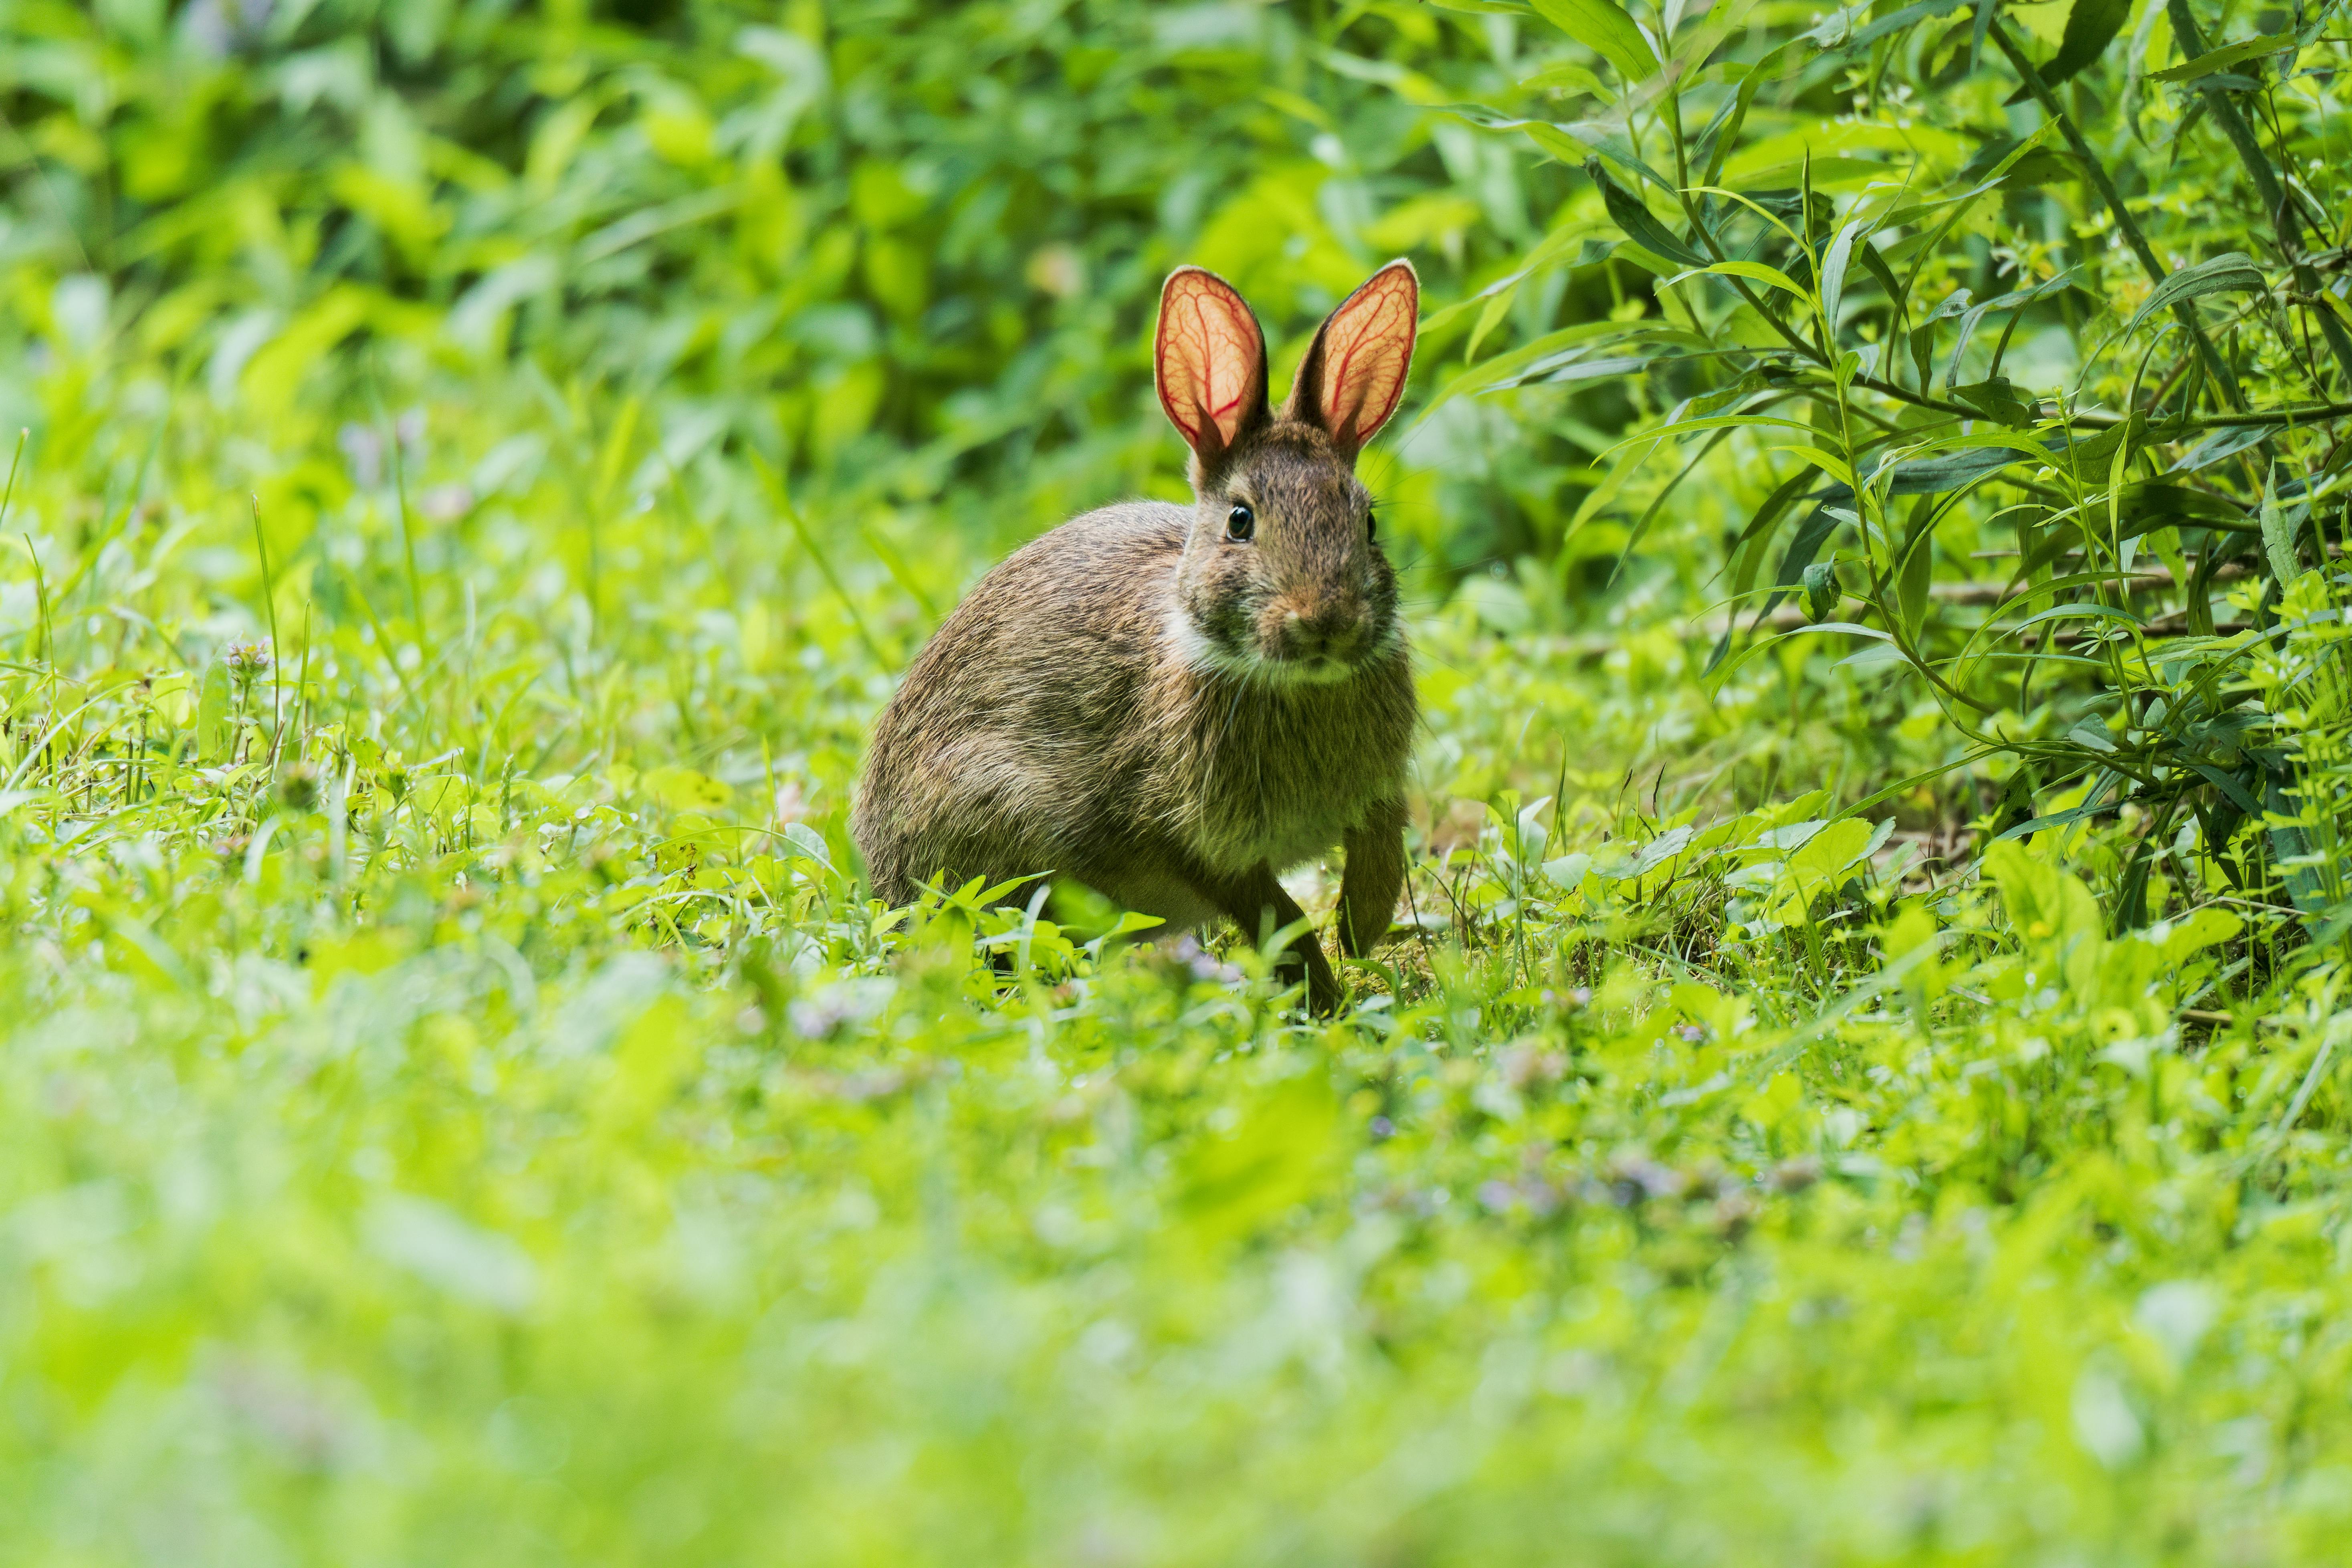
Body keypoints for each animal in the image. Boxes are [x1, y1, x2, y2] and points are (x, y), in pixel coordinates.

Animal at [856, 261, 1420, 1020]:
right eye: (1239, 521)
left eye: (1367, 524)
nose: (1325, 622)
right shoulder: (1182, 831)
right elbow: (1274, 914)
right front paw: (1328, 996)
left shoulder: (1374, 797)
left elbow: (1378, 847)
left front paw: (1362, 927)